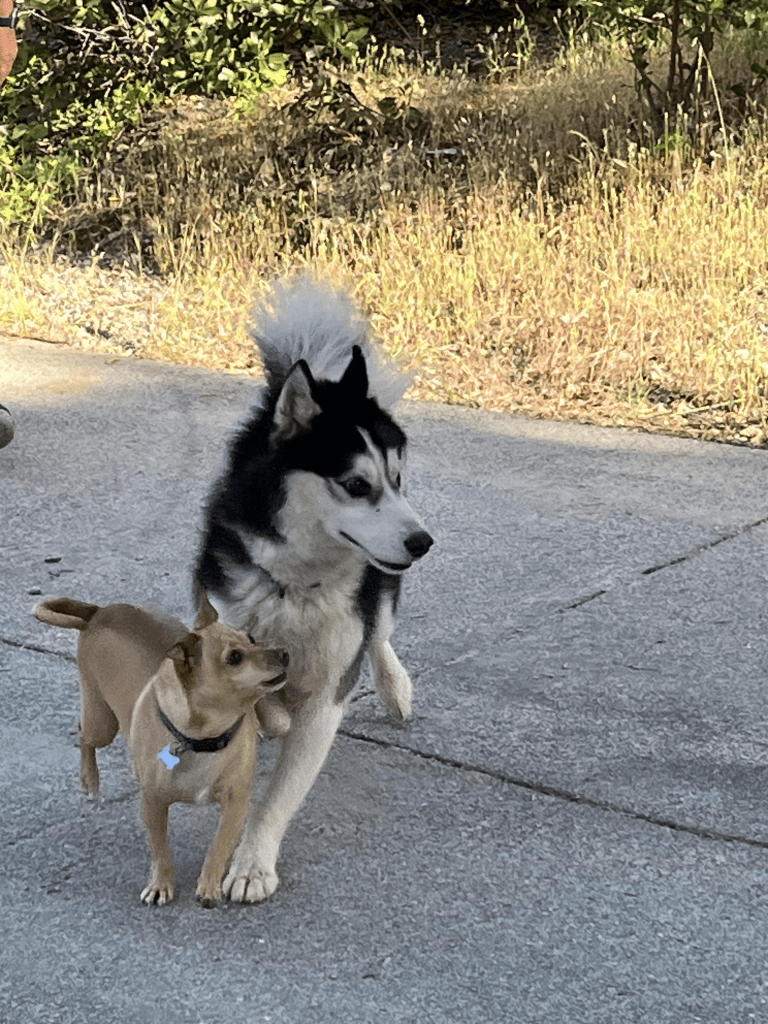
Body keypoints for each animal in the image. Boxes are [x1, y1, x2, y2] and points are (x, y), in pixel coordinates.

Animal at [34, 593, 288, 907]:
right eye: (234, 658)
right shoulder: (153, 803)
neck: (202, 738)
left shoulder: (236, 804)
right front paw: (161, 885)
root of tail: (99, 611)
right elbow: (161, 850)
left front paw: (209, 884)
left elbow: (219, 847)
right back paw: (90, 779)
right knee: (83, 736)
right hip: (101, 723)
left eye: (252, 639)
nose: (284, 653)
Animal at [195, 275, 434, 903]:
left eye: (397, 479)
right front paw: (272, 713)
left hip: (380, 597)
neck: (295, 587)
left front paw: (252, 864)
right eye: (356, 484)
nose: (423, 541)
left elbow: (279, 793)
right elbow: (261, 708)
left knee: (379, 632)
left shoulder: (329, 687)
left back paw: (395, 688)